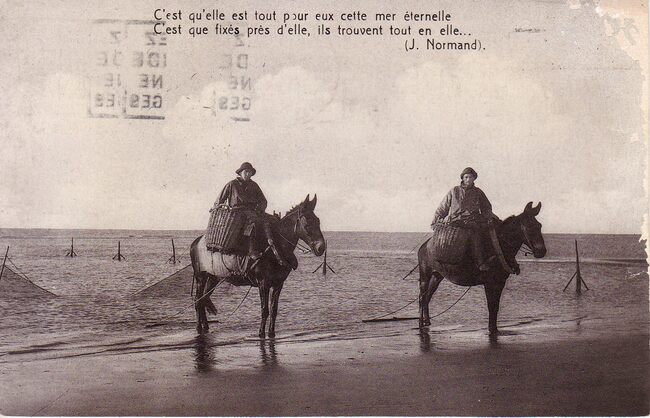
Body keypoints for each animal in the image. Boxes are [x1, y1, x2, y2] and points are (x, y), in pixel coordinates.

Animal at [190, 194, 326, 337]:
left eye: (318, 221)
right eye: (307, 223)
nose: (321, 248)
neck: (274, 249)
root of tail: (197, 241)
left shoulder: (278, 284)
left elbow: (274, 309)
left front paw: (271, 333)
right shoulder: (263, 283)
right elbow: (264, 310)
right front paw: (261, 333)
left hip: (213, 277)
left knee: (204, 299)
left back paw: (205, 326)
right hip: (200, 277)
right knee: (198, 301)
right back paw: (199, 327)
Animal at [418, 202, 547, 334]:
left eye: (539, 226)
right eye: (529, 227)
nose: (541, 251)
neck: (498, 247)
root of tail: (424, 246)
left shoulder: (500, 282)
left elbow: (496, 307)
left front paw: (494, 329)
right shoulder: (489, 283)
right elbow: (491, 305)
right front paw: (491, 329)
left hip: (437, 276)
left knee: (427, 297)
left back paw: (427, 322)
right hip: (425, 275)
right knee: (422, 297)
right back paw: (421, 323)